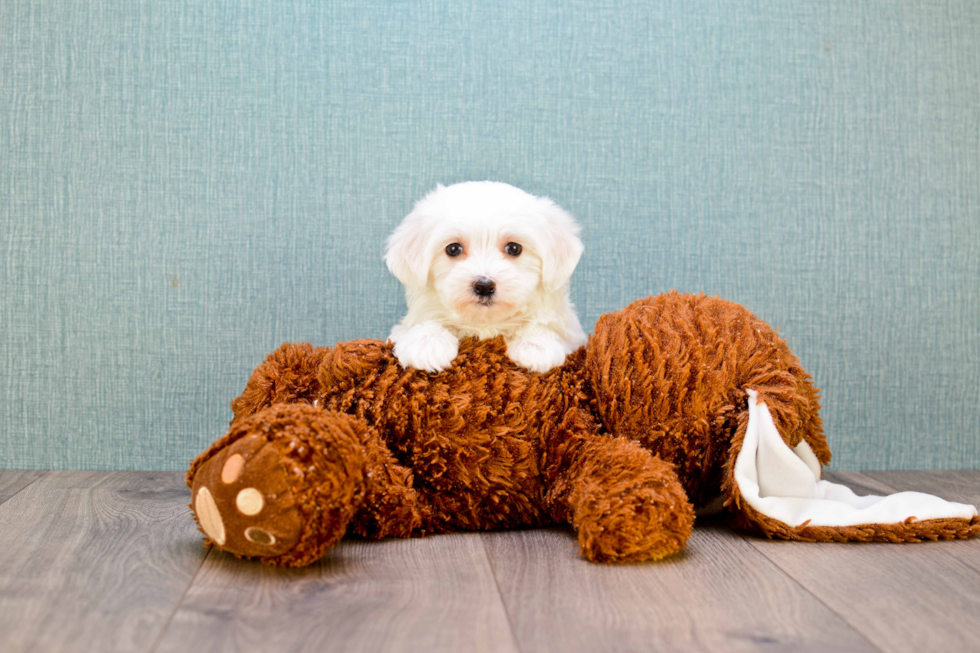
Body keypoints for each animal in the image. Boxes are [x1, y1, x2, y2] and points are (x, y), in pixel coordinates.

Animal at [384, 181, 584, 374]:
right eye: (453, 249)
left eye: (514, 248)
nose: (484, 286)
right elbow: (428, 321)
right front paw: (427, 343)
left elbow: (544, 324)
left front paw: (536, 345)